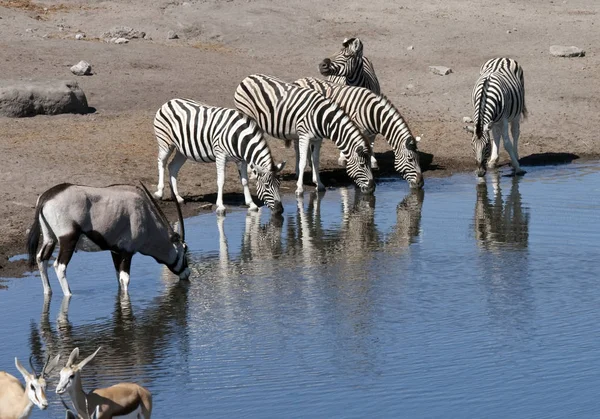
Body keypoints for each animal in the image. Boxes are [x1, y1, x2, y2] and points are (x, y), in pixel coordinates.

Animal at [155, 99, 286, 217]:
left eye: (279, 184)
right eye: (267, 186)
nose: (280, 210)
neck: (238, 137)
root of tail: (169, 102)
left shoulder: (241, 160)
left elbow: (245, 181)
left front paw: (251, 204)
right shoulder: (220, 155)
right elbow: (221, 181)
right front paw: (220, 206)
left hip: (182, 150)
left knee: (172, 167)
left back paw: (177, 197)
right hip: (165, 143)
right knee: (161, 162)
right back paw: (159, 193)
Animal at [234, 73, 376, 197]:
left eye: (370, 164)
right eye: (362, 165)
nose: (372, 188)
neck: (322, 118)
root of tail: (248, 77)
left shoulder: (317, 139)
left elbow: (315, 161)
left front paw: (320, 185)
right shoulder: (304, 136)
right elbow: (302, 162)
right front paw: (299, 189)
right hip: (248, 117)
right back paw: (251, 173)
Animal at [292, 77, 424, 190]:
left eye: (418, 158)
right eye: (410, 159)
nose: (421, 184)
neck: (373, 113)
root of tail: (299, 80)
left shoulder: (371, 133)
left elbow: (369, 148)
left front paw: (371, 164)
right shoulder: (357, 128)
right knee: (297, 145)